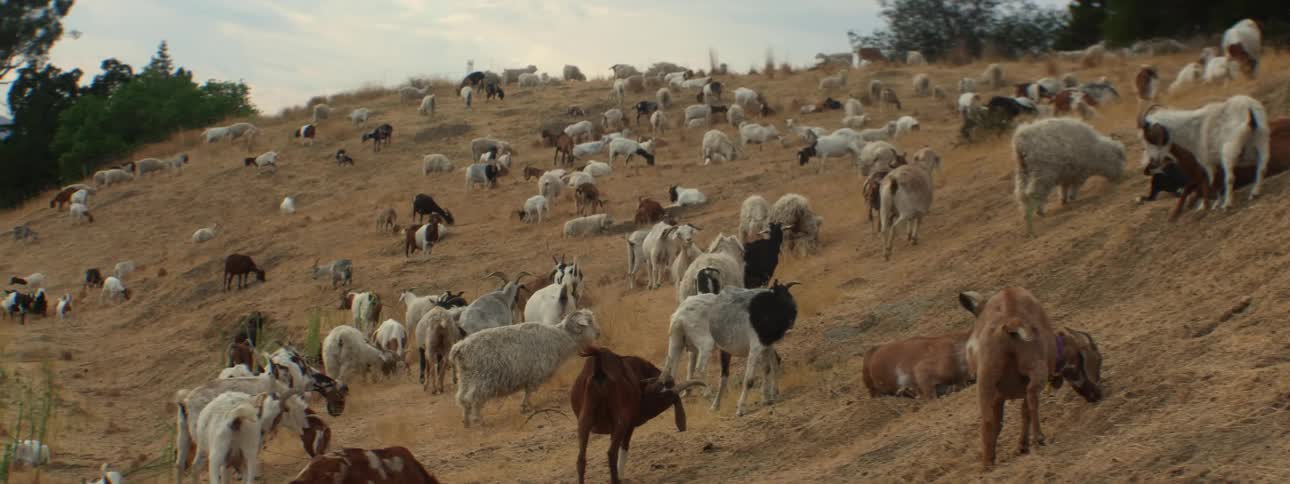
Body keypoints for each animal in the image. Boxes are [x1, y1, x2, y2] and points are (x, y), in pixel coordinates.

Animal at [451, 309, 601, 427]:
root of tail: (460, 347)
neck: (561, 337)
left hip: (465, 377)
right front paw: (526, 407)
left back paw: (466, 422)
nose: (599, 333)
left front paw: (525, 407)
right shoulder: (536, 373)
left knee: (463, 398)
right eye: (589, 321)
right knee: (473, 398)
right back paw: (478, 420)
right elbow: (529, 391)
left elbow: (527, 391)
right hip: (482, 378)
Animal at [572, 347, 703, 484]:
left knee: (581, 459)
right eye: (665, 399)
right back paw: (616, 480)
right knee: (611, 453)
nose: (643, 413)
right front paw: (621, 476)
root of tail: (599, 365)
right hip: (621, 422)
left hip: (584, 422)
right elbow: (623, 449)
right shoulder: (629, 425)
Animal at [658, 280, 798, 416]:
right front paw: (742, 408)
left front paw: (768, 397)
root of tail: (680, 316)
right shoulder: (756, 347)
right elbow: (750, 378)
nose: (792, 318)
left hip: (676, 343)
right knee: (700, 368)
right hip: (705, 343)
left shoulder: (765, 346)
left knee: (670, 370)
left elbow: (769, 367)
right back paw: (708, 394)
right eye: (785, 299)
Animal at [959, 288, 1104, 468]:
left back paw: (987, 464)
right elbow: (1026, 409)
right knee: (1033, 397)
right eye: (1098, 360)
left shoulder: (999, 395)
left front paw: (1018, 447)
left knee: (987, 419)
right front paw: (1024, 445)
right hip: (1036, 368)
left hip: (986, 378)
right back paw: (1039, 438)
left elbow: (1007, 418)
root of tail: (1011, 322)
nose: (1098, 394)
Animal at [1139, 96, 1270, 213]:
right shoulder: (1214, 162)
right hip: (1262, 140)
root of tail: (1249, 110)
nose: (1152, 162)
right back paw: (1254, 193)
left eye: (1149, 138)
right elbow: (1215, 180)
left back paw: (1227, 204)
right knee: (1262, 168)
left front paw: (1212, 205)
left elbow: (1211, 181)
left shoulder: (1206, 161)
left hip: (1229, 150)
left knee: (1230, 178)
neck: (1192, 129)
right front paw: (1213, 203)